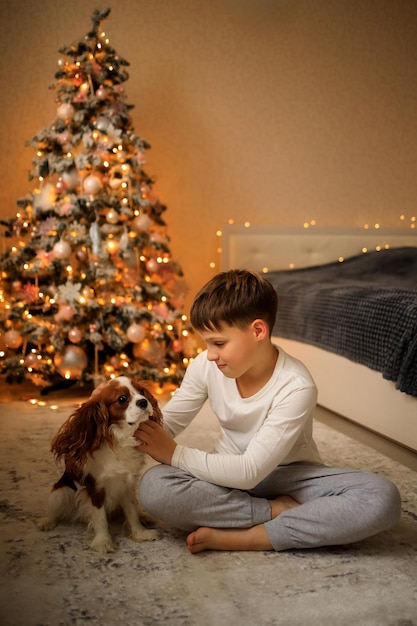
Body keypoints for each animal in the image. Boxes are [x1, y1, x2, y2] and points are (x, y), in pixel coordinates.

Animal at [37, 376, 161, 552]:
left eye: (142, 392)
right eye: (122, 399)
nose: (143, 402)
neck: (119, 439)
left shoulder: (126, 486)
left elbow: (131, 512)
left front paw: (140, 533)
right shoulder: (95, 488)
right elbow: (100, 518)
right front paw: (103, 541)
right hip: (60, 493)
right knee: (55, 510)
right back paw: (47, 521)